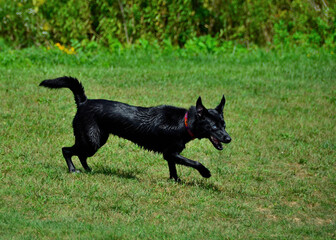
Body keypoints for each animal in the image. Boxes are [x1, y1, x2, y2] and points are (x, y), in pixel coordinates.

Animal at [39, 76, 231, 180]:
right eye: (214, 126)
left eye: (224, 125)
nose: (228, 138)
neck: (183, 122)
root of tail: (83, 102)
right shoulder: (171, 153)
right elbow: (194, 162)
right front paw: (205, 173)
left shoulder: (171, 154)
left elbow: (173, 169)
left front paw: (175, 181)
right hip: (91, 141)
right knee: (66, 150)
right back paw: (73, 170)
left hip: (96, 140)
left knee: (81, 155)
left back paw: (88, 170)